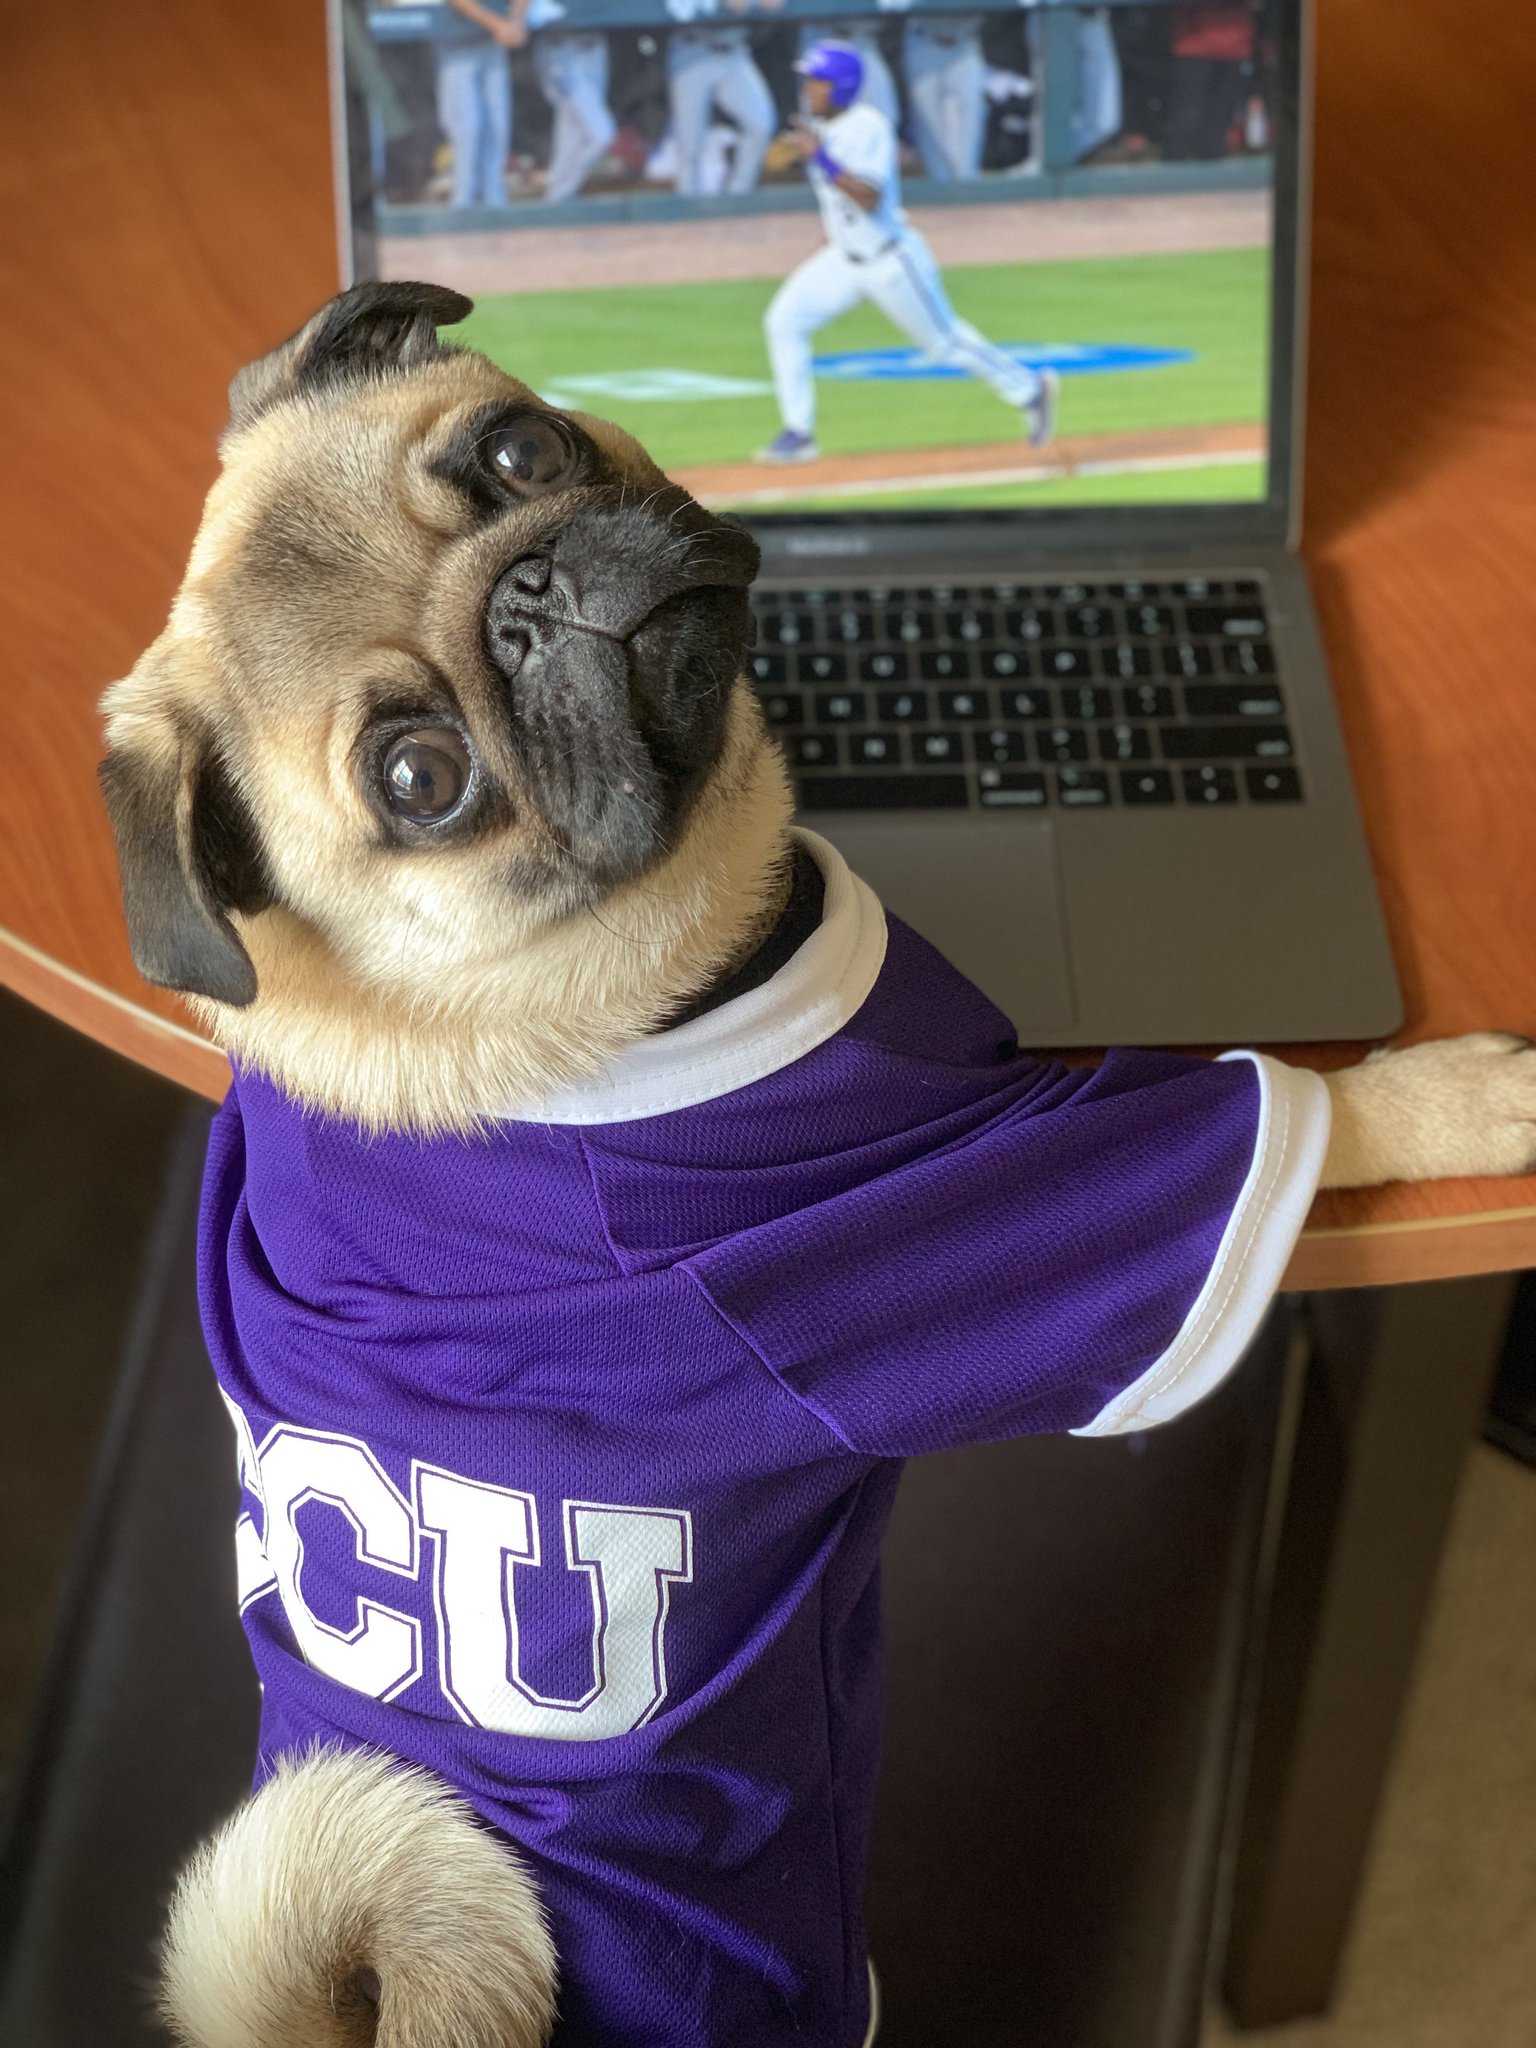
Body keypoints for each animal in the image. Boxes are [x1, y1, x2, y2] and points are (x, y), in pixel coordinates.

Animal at [99, 276, 1536, 2048]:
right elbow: (1265, 1111)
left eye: (521, 451)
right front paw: (1458, 1096)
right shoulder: (932, 1218)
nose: (531, 594)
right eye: (420, 779)